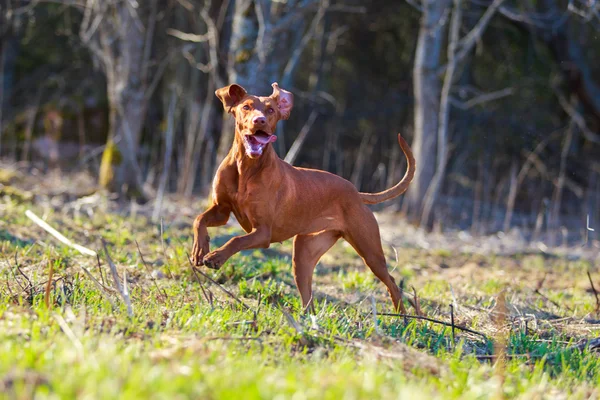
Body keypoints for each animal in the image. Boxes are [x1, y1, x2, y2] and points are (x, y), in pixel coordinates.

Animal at [193, 81, 418, 312]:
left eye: (270, 110)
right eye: (246, 107)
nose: (260, 120)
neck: (246, 168)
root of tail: (356, 192)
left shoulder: (262, 232)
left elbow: (236, 239)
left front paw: (217, 257)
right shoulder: (222, 210)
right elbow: (199, 220)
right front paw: (199, 249)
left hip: (370, 252)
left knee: (392, 282)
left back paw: (404, 315)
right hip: (304, 253)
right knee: (308, 299)